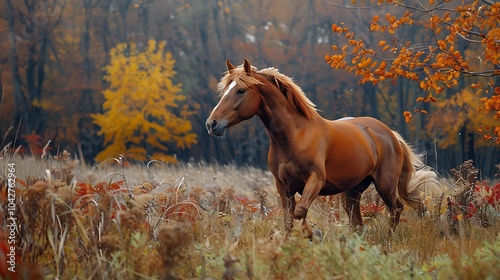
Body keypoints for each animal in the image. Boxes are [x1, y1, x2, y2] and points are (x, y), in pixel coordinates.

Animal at [205, 59, 432, 238]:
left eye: (241, 90)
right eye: (224, 91)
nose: (212, 124)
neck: (294, 136)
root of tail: (390, 134)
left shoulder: (315, 179)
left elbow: (300, 212)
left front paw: (311, 235)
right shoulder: (283, 185)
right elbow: (289, 219)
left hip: (385, 184)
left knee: (396, 209)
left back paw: (388, 240)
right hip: (353, 190)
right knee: (357, 221)